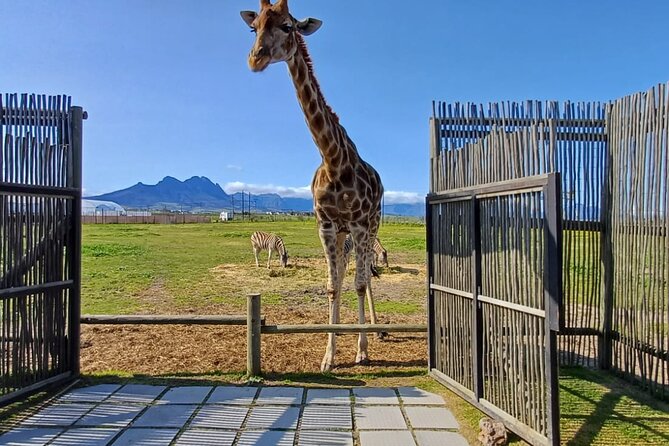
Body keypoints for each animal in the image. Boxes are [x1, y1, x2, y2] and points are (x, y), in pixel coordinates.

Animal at [240, 0, 384, 371]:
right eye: (254, 27)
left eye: (288, 26)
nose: (255, 58)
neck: (334, 160)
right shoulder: (327, 225)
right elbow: (333, 286)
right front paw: (329, 356)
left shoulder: (359, 224)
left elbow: (359, 283)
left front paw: (361, 351)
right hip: (345, 234)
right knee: (346, 272)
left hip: (371, 226)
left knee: (364, 276)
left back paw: (374, 332)